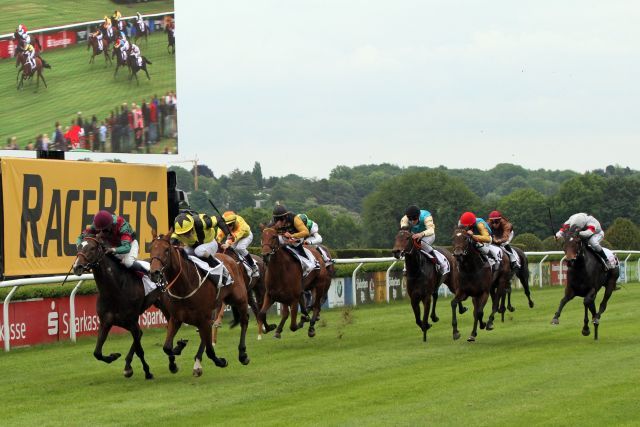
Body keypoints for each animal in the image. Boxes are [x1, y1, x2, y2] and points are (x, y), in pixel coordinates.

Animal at [73, 237, 168, 382]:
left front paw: (144, 371)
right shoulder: (106, 322)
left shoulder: (132, 321)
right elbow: (97, 353)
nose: (77, 267)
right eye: (78, 246)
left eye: (92, 248)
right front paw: (114, 356)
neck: (115, 289)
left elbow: (139, 349)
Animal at [149, 234, 250, 378]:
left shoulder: (203, 318)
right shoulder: (176, 318)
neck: (184, 286)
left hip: (239, 299)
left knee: (244, 321)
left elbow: (210, 351)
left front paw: (221, 361)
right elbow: (167, 347)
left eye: (166, 250)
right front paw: (178, 349)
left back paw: (242, 355)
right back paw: (197, 364)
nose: (154, 273)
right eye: (151, 249)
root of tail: (231, 260)